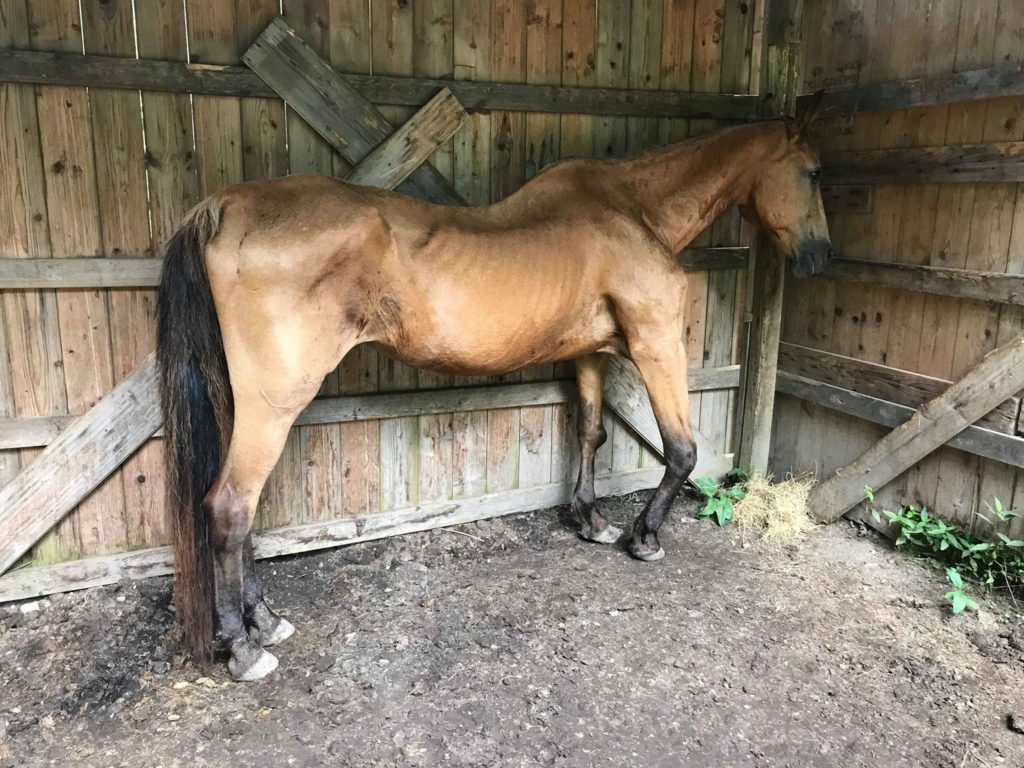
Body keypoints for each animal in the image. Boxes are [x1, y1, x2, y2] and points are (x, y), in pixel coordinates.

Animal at [156, 94, 832, 681]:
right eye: (814, 172)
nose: (819, 258)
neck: (630, 210)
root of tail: (227, 204)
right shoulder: (657, 343)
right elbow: (682, 450)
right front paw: (644, 538)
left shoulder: (589, 355)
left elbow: (590, 431)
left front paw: (591, 520)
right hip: (274, 403)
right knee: (230, 506)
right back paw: (246, 649)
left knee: (241, 507)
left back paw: (265, 621)